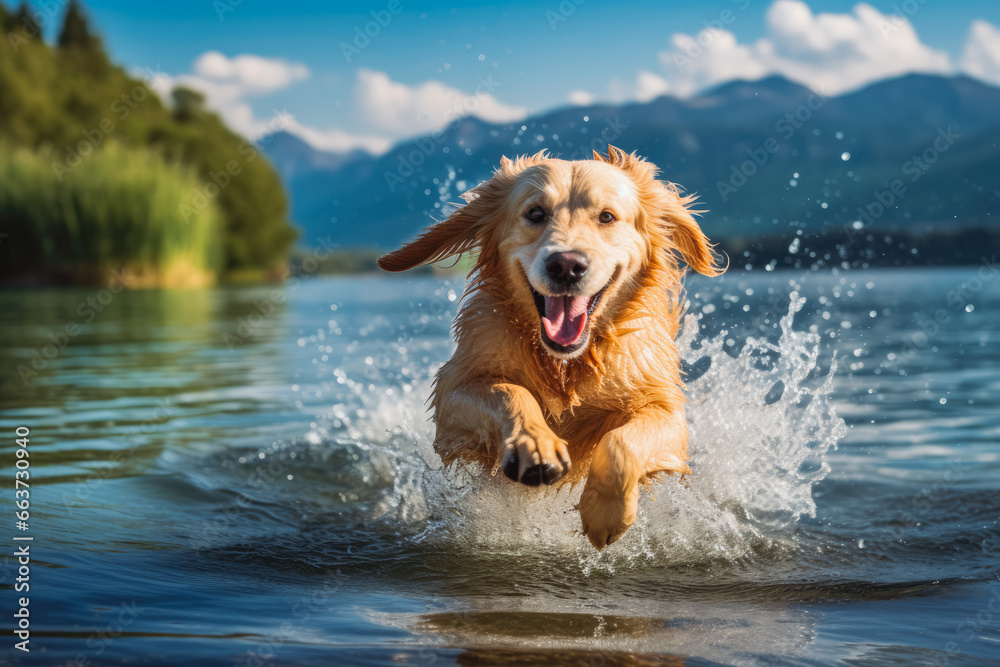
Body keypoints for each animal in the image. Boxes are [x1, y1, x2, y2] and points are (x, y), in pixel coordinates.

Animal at [376, 145, 720, 548]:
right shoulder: (454, 393)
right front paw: (534, 446)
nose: (566, 265)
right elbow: (511, 392)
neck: (565, 364)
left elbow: (622, 442)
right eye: (536, 213)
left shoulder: (663, 407)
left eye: (606, 216)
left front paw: (606, 510)